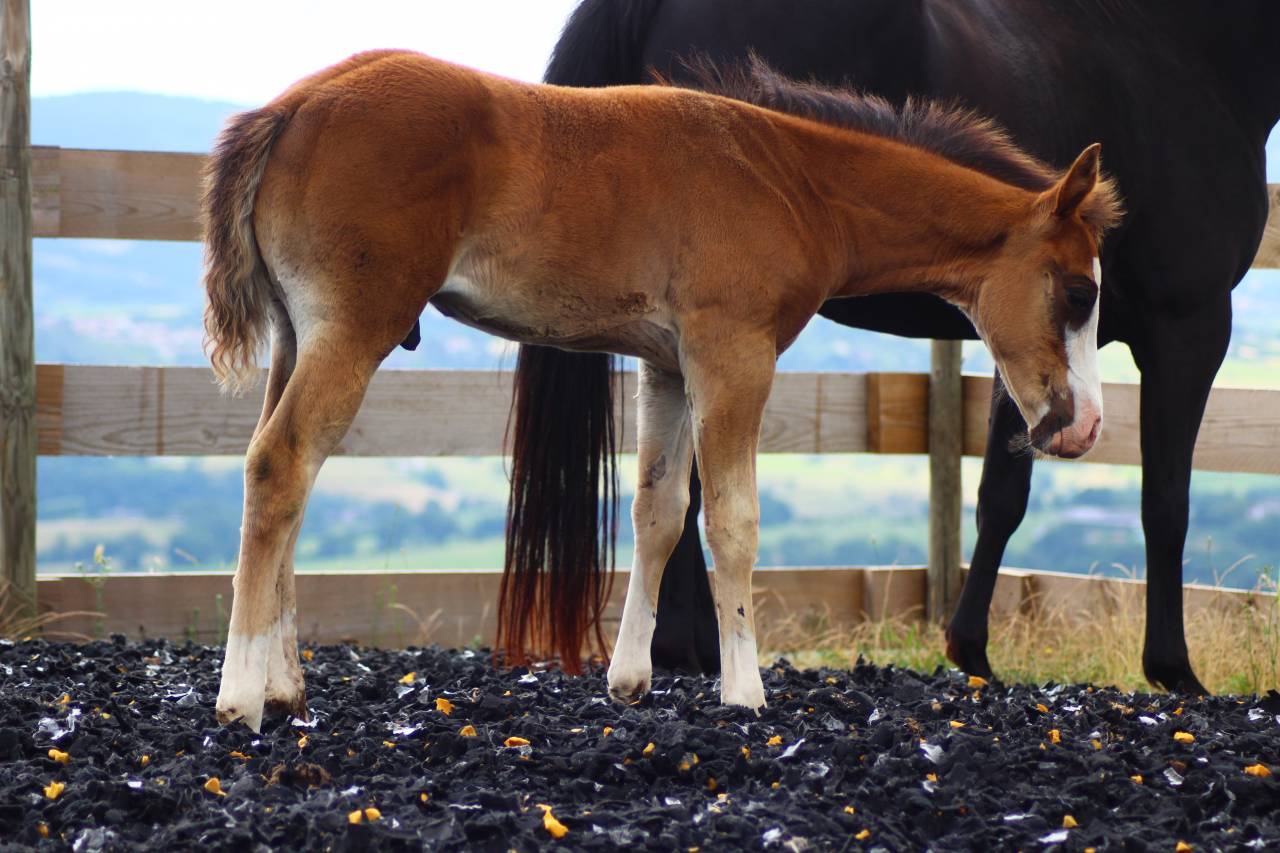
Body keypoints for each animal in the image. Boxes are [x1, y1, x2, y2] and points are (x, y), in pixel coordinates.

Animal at [202, 49, 1116, 730]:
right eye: (1079, 292)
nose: (1084, 426)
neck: (792, 181)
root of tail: (288, 108)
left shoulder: (667, 365)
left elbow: (660, 510)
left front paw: (630, 679)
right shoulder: (733, 352)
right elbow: (732, 522)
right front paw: (744, 690)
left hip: (298, 334)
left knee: (287, 475)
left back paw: (285, 683)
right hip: (355, 325)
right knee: (281, 464)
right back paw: (240, 697)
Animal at [501, 0, 1280, 692]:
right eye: (1081, 294)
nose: (1085, 428)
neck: (1175, 40)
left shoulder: (1018, 342)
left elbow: (1002, 492)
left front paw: (970, 648)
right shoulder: (1191, 325)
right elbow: (1166, 501)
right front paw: (1174, 670)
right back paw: (688, 649)